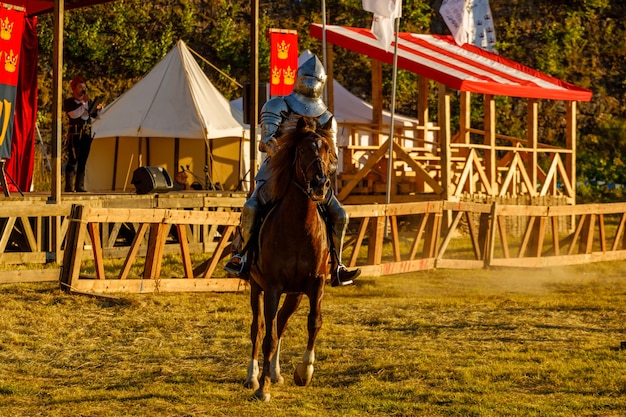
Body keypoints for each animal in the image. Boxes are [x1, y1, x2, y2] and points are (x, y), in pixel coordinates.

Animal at [241, 115, 336, 402]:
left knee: (281, 323)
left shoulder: (316, 284)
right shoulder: (272, 287)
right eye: (303, 150)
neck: (298, 227)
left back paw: (275, 373)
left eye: (327, 150)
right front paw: (262, 388)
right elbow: (267, 337)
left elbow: (314, 323)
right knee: (259, 328)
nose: (320, 184)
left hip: (295, 294)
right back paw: (253, 377)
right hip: (256, 287)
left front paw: (304, 372)